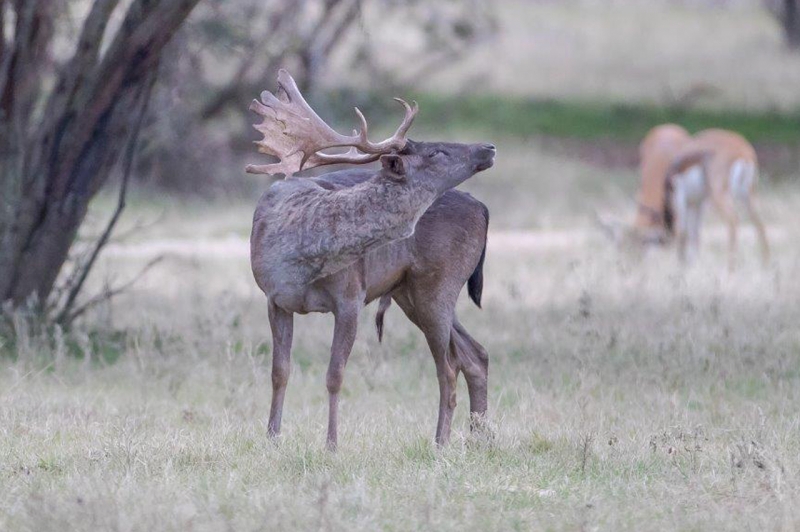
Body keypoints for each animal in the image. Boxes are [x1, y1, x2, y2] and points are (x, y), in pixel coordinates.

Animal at [245, 70, 496, 449]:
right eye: (436, 151)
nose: (488, 147)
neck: (305, 257)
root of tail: (482, 207)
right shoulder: (275, 299)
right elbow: (280, 371)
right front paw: (272, 438)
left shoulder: (351, 296)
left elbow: (335, 375)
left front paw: (331, 445)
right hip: (412, 293)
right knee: (473, 355)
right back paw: (478, 439)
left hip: (441, 282)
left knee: (449, 366)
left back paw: (442, 442)